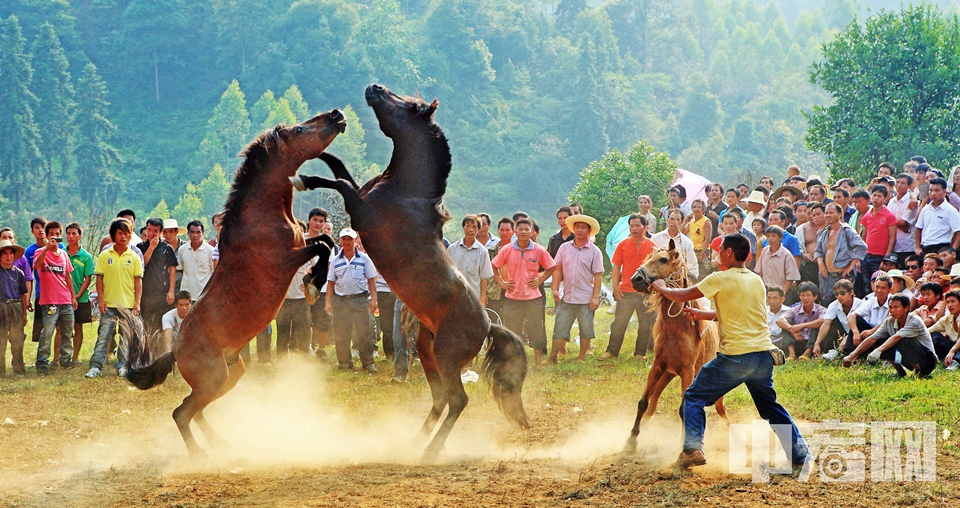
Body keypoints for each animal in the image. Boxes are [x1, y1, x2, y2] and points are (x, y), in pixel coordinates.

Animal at [122, 108, 344, 456]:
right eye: (298, 130)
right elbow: (322, 246)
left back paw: (220, 444)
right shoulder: (284, 260)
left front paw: (312, 281)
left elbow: (325, 240)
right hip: (214, 378)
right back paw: (199, 454)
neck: (261, 216)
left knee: (194, 411)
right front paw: (311, 283)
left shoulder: (299, 244)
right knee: (182, 412)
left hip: (230, 375)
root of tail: (176, 351)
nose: (336, 115)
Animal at [292, 84, 532, 464]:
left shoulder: (362, 212)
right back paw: (415, 442)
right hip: (428, 351)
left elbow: (340, 181)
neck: (405, 192)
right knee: (441, 399)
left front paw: (302, 178)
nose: (374, 87)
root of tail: (488, 324)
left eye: (410, 105)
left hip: (447, 356)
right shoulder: (361, 196)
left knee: (457, 400)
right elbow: (341, 170)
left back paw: (430, 451)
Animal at [624, 240, 728, 454]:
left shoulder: (687, 371)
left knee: (721, 410)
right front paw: (631, 439)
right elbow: (643, 403)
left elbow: (683, 409)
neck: (678, 327)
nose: (636, 279)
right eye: (649, 258)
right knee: (652, 405)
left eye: (663, 259)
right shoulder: (657, 366)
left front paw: (685, 444)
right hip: (667, 374)